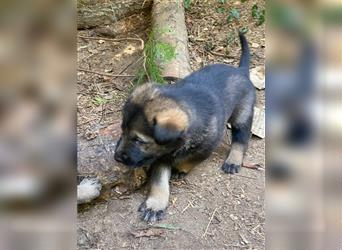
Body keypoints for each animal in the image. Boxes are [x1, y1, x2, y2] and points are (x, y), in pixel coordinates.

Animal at [115, 32, 256, 223]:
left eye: (138, 140)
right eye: (122, 131)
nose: (116, 157)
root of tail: (241, 71)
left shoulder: (207, 146)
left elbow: (192, 159)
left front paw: (180, 168)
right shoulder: (161, 155)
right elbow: (159, 181)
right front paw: (156, 203)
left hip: (243, 113)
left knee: (241, 139)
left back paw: (233, 160)